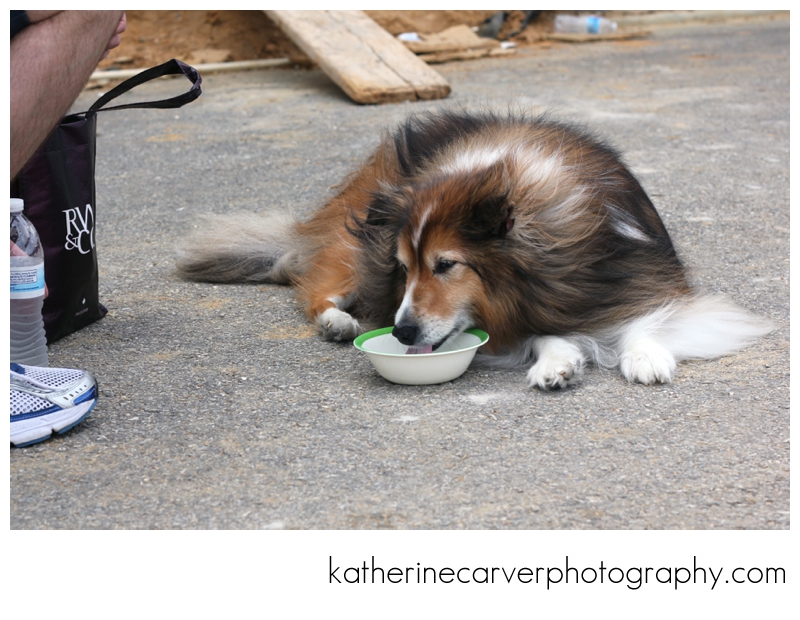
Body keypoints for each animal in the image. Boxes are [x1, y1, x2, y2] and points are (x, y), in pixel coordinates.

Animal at [177, 110, 772, 389]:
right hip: (353, 246)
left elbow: (650, 316)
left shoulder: (637, 271)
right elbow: (540, 332)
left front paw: (645, 354)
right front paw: (558, 360)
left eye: (446, 265)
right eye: (405, 268)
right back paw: (338, 322)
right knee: (317, 286)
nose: (402, 333)